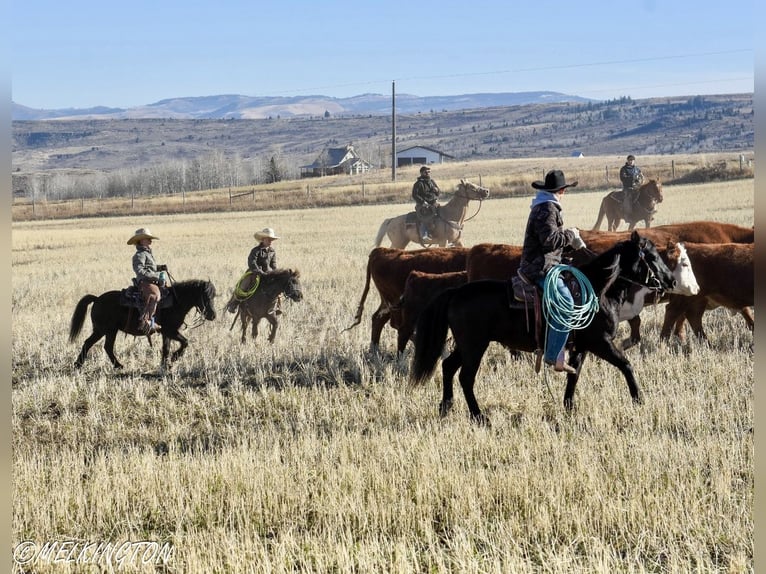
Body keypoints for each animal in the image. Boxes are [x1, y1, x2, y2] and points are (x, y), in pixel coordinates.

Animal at [70, 282, 218, 372]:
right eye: (205, 296)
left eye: (214, 296)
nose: (213, 315)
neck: (176, 302)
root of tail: (97, 299)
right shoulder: (170, 330)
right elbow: (185, 342)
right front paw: (174, 358)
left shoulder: (166, 333)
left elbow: (166, 348)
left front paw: (165, 365)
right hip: (107, 330)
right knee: (100, 345)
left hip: (104, 331)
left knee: (96, 345)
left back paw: (81, 364)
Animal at [414, 232, 680, 426]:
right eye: (651, 256)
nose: (671, 281)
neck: (599, 290)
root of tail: (455, 292)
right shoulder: (601, 342)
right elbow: (626, 365)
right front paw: (639, 399)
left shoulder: (582, 346)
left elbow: (574, 375)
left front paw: (569, 407)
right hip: (474, 346)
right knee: (465, 377)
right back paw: (479, 417)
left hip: (467, 345)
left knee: (448, 367)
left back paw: (446, 407)